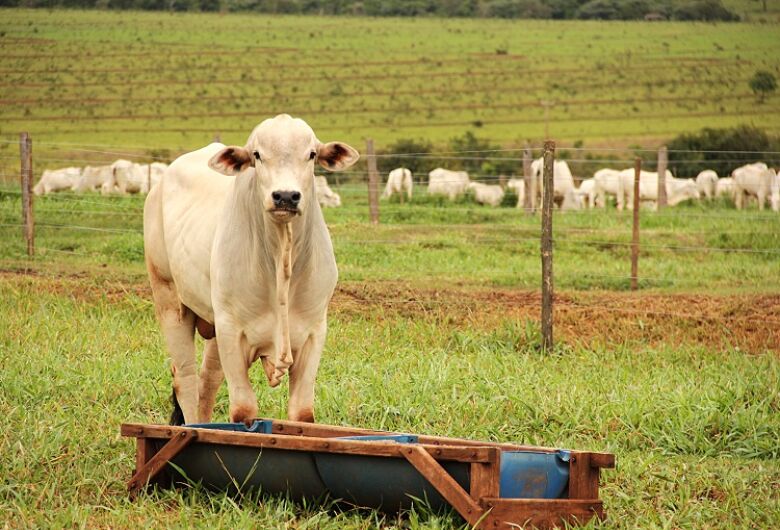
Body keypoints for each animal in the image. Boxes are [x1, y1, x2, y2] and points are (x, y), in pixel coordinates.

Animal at [144, 113, 360, 422]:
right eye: (257, 155)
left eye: (311, 154)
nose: (285, 196)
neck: (281, 260)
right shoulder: (232, 332)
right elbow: (243, 410)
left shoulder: (314, 331)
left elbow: (302, 412)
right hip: (170, 300)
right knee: (185, 380)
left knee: (208, 380)